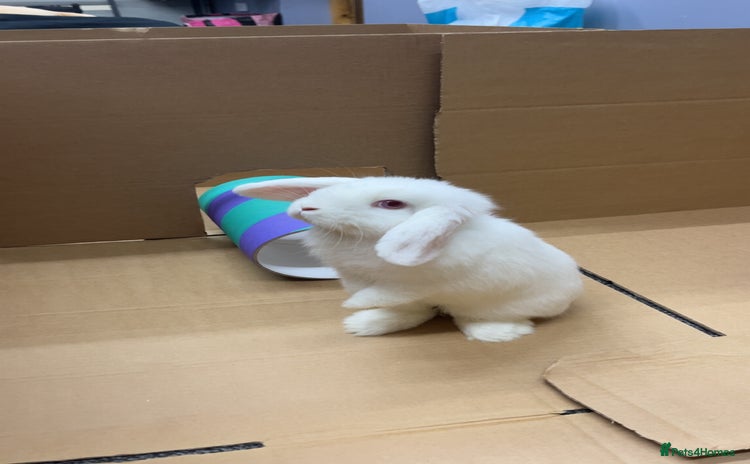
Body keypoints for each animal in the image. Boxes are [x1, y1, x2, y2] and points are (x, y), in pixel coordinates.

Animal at [233, 176, 583, 342]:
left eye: (390, 204)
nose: (306, 207)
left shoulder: (415, 284)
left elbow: (379, 292)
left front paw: (352, 305)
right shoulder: (358, 279)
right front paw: (357, 311)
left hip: (493, 304)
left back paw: (497, 334)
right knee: (417, 313)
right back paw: (363, 326)